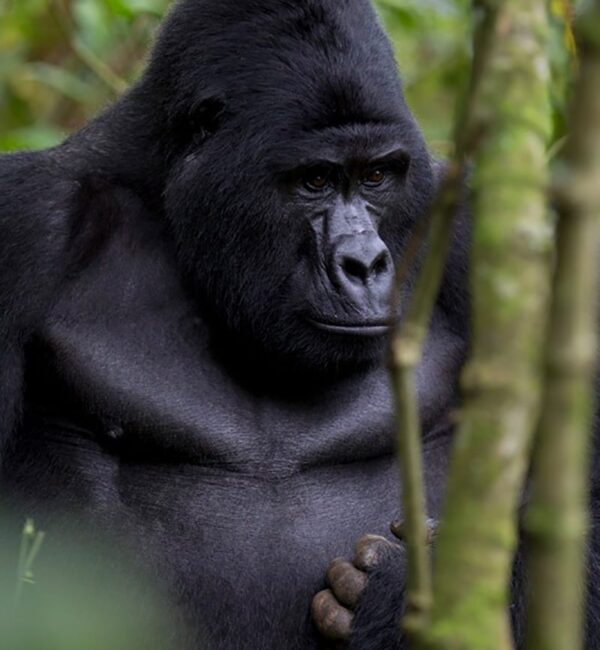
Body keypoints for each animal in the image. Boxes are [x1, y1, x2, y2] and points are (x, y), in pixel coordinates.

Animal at [0, 0, 596, 644]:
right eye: (315, 180)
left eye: (376, 177)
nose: (365, 263)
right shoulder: (26, 219)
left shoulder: (480, 235)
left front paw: (397, 595)